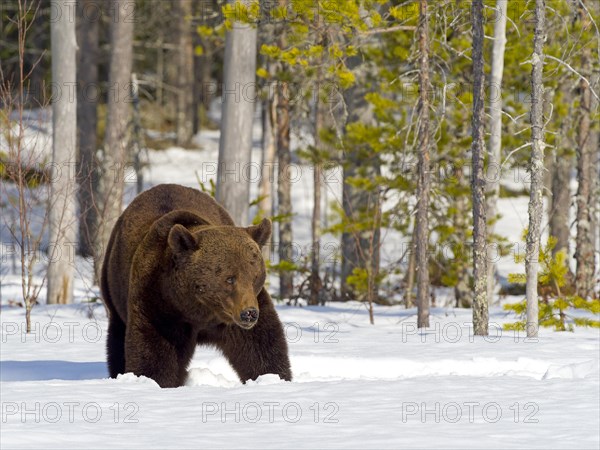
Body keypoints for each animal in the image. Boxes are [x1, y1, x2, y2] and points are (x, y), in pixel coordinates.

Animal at [99, 183, 292, 386]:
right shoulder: (159, 302)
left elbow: (261, 345)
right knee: (117, 337)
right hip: (113, 281)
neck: (199, 309)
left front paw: (272, 377)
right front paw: (154, 380)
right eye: (230, 278)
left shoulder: (239, 313)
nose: (249, 313)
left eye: (255, 276)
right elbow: (154, 349)